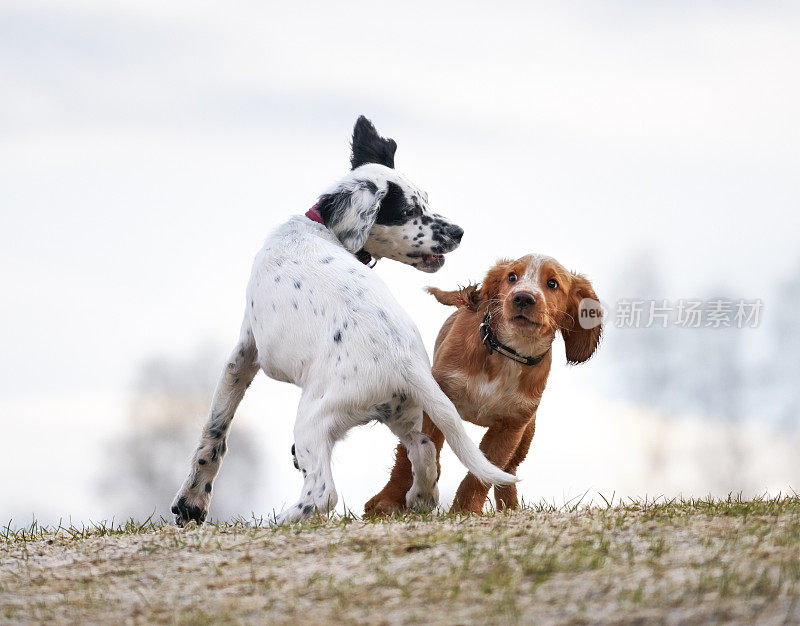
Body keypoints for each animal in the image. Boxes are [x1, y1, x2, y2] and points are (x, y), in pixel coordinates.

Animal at [171, 116, 516, 520]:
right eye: (408, 211)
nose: (459, 233)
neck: (318, 229)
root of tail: (404, 362)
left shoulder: (244, 351)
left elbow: (215, 429)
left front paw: (191, 501)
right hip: (404, 411)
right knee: (424, 448)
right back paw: (420, 499)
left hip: (313, 418)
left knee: (323, 493)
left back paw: (281, 521)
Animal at [364, 254, 600, 512]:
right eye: (511, 277)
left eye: (552, 284)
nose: (522, 298)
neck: (507, 353)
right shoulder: (435, 400)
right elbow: (412, 454)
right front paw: (387, 501)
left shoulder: (511, 426)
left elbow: (483, 472)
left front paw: (465, 510)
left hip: (526, 434)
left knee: (509, 470)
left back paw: (510, 508)